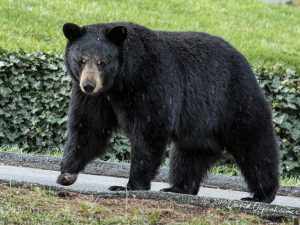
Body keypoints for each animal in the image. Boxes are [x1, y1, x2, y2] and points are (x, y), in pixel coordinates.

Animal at [57, 22, 280, 203]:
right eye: (81, 60)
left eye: (102, 62)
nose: (89, 85)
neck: (122, 81)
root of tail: (246, 63)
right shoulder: (97, 98)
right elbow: (89, 127)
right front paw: (67, 173)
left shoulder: (153, 82)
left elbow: (149, 130)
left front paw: (129, 185)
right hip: (199, 125)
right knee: (189, 154)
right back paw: (178, 188)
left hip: (234, 101)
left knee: (254, 146)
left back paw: (262, 194)